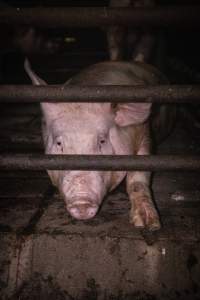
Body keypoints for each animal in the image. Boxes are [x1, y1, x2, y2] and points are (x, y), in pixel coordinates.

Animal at [24, 59, 169, 232]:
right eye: (59, 143)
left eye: (102, 141)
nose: (81, 202)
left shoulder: (144, 134)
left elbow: (138, 177)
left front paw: (148, 225)